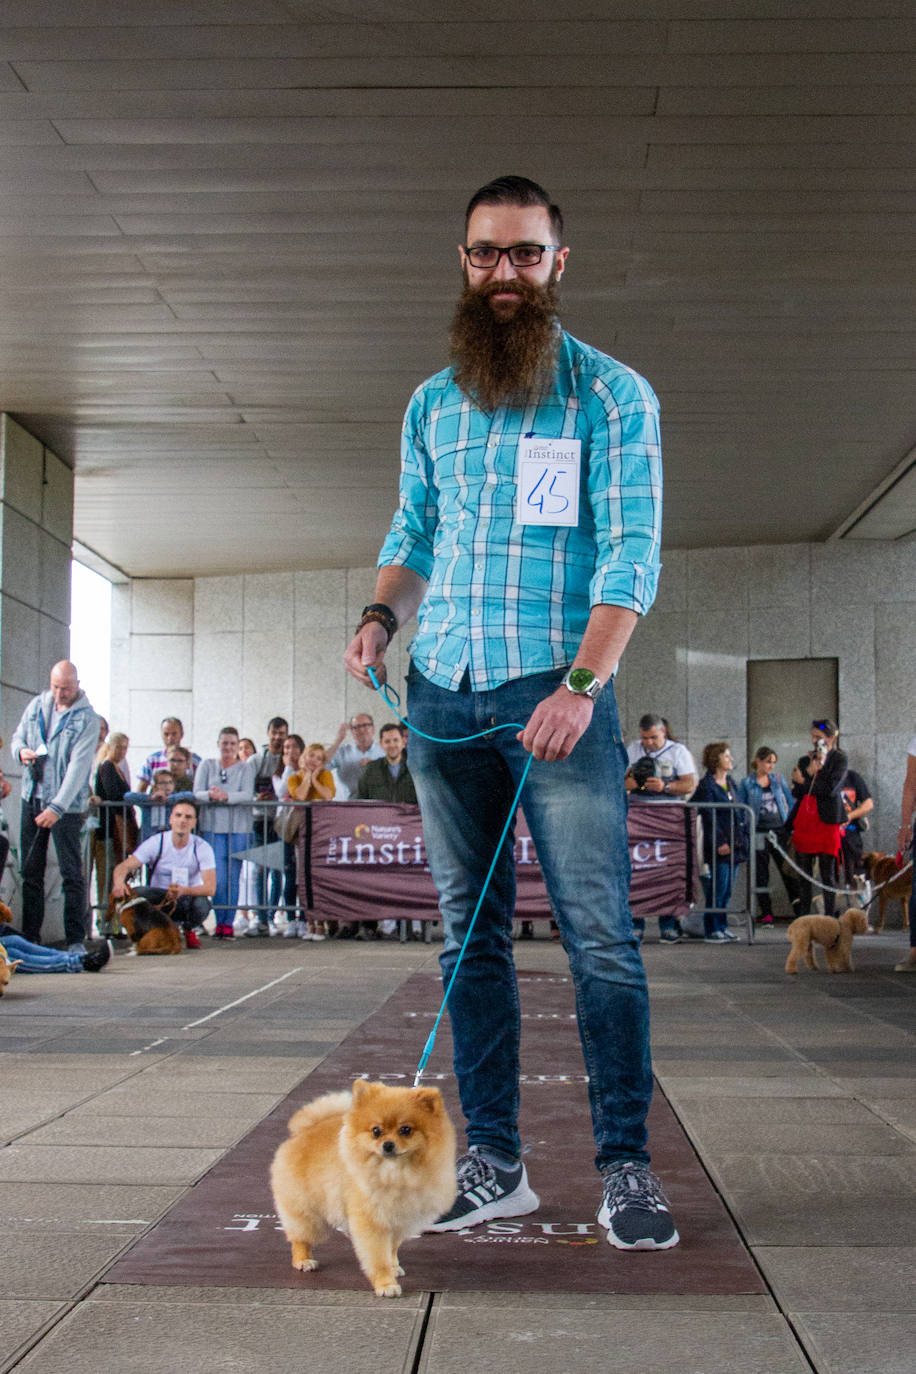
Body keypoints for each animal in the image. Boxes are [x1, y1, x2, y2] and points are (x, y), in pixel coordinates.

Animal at [271, 1077, 458, 1291]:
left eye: (405, 1130)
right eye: (376, 1131)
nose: (388, 1145)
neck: (396, 1173)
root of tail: (303, 1130)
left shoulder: (399, 1220)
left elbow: (391, 1249)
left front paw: (393, 1267)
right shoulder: (372, 1222)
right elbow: (378, 1257)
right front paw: (386, 1284)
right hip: (306, 1210)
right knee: (300, 1236)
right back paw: (303, 1260)